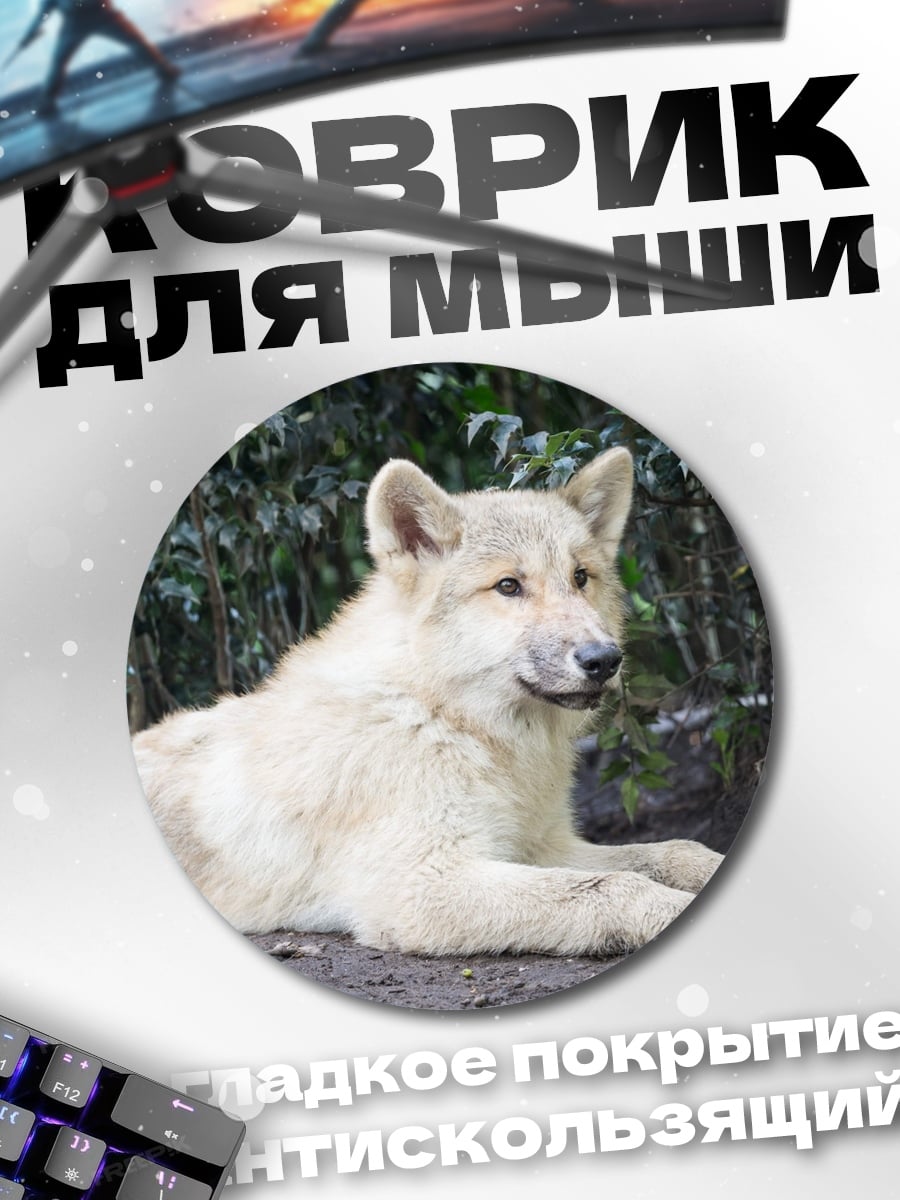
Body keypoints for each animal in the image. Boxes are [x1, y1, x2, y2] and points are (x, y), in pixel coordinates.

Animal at [133, 449, 722, 957]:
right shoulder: (425, 884)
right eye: (508, 586)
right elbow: (618, 886)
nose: (604, 659)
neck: (445, 720)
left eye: (581, 578)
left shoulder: (537, 847)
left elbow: (674, 851)